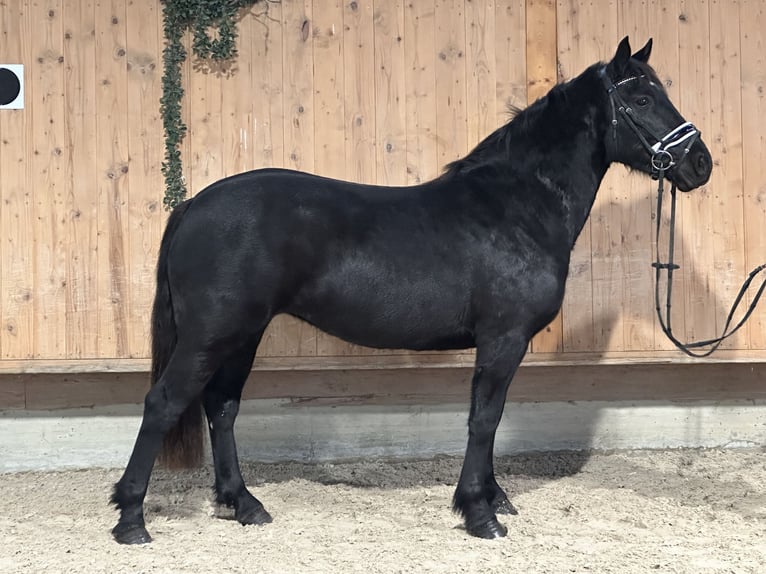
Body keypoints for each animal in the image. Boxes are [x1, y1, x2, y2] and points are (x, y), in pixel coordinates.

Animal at [111, 38, 712, 548]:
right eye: (641, 96)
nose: (700, 163)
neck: (517, 205)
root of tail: (194, 203)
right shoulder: (503, 339)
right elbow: (484, 419)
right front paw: (480, 513)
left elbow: (488, 418)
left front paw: (494, 497)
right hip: (213, 333)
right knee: (164, 403)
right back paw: (132, 520)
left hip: (243, 334)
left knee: (222, 406)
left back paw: (245, 504)